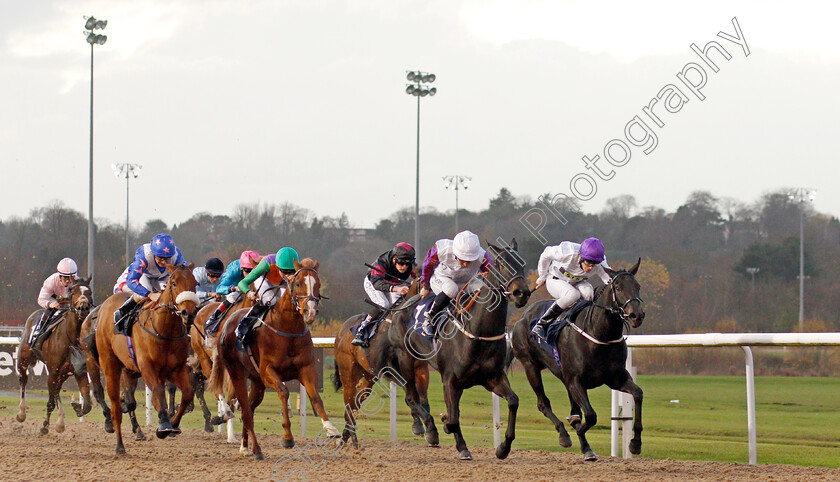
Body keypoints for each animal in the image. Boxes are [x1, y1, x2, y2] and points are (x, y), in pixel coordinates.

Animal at [15, 276, 92, 434]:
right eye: (73, 292)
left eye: (89, 292)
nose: (83, 308)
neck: (72, 339)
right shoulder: (53, 372)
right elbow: (52, 399)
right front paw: (52, 425)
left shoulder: (79, 371)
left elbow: (87, 404)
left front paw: (76, 407)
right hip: (24, 360)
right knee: (23, 380)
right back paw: (21, 413)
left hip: (62, 374)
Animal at [94, 266, 200, 454]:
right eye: (174, 283)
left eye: (195, 283)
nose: (188, 313)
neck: (164, 330)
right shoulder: (147, 368)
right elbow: (157, 390)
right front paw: (164, 424)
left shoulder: (176, 369)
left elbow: (187, 393)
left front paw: (173, 423)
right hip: (110, 364)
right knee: (116, 406)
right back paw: (120, 445)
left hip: (130, 372)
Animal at [208, 258, 338, 462]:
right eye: (298, 283)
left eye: (318, 284)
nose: (310, 312)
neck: (287, 329)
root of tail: (227, 323)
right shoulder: (268, 371)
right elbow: (284, 392)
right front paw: (287, 437)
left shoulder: (306, 369)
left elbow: (315, 397)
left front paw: (331, 429)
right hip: (237, 373)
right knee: (245, 410)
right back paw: (257, 449)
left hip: (257, 382)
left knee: (249, 409)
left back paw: (245, 447)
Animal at [512, 258, 644, 462]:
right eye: (618, 288)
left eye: (637, 286)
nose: (636, 315)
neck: (599, 334)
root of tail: (523, 317)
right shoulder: (576, 380)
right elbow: (590, 415)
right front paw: (579, 435)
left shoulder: (616, 378)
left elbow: (638, 394)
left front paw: (635, 443)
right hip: (530, 366)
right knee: (543, 403)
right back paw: (564, 435)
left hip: (562, 375)